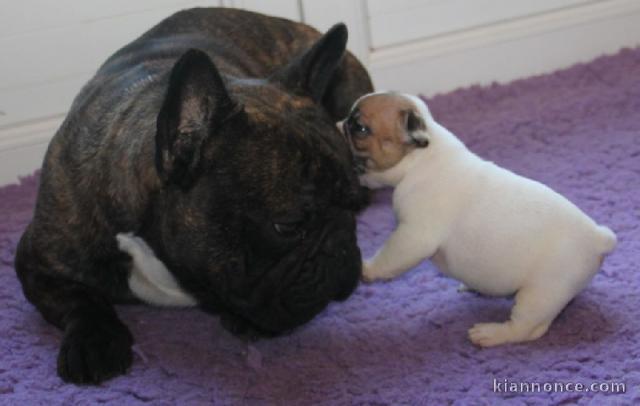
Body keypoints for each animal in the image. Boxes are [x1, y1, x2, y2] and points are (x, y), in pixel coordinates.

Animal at [340, 92, 616, 346]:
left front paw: (367, 268)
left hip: (541, 293)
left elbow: (390, 256)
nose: (339, 124)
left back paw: (491, 334)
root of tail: (598, 238)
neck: (421, 159)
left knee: (527, 328)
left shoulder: (414, 236)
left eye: (360, 128)